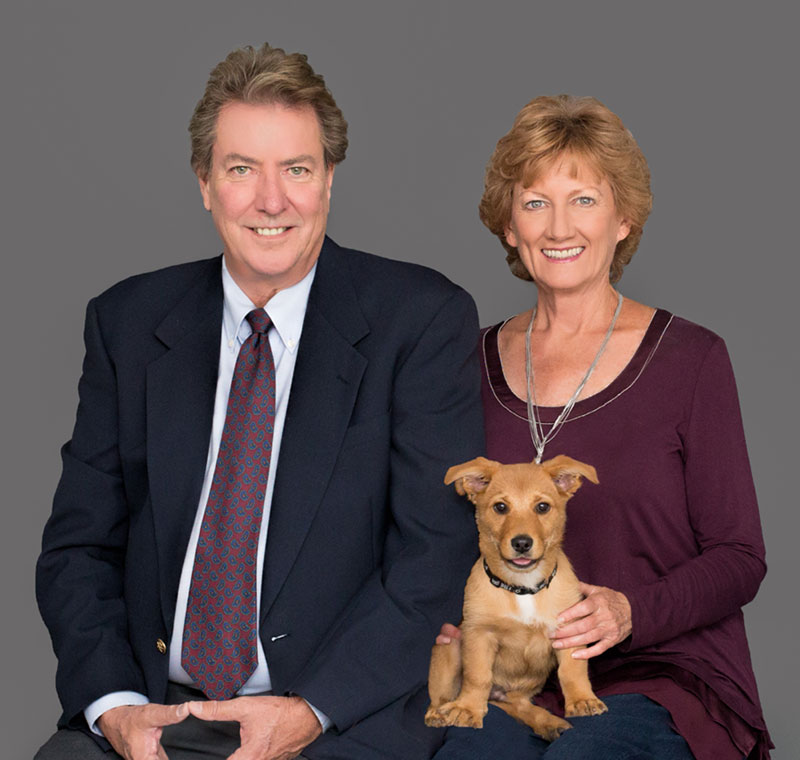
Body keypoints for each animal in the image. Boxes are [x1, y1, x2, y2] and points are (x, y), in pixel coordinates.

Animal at [425, 455, 606, 741]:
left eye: (542, 507)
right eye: (500, 507)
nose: (522, 543)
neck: (523, 588)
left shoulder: (569, 630)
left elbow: (572, 671)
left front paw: (581, 700)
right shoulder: (478, 634)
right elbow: (477, 676)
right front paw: (467, 709)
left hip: (520, 689)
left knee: (520, 705)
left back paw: (549, 723)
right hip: (449, 645)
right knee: (442, 696)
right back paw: (439, 712)